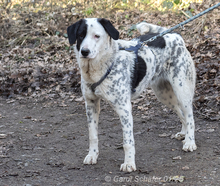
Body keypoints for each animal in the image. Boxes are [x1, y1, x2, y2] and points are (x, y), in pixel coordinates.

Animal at [66, 18, 197, 172]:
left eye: (96, 36)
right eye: (80, 35)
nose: (84, 51)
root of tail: (175, 36)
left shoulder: (124, 109)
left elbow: (127, 142)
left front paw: (129, 163)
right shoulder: (91, 104)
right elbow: (93, 135)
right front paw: (92, 155)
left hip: (182, 90)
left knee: (190, 116)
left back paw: (190, 142)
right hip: (164, 94)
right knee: (182, 114)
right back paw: (184, 133)